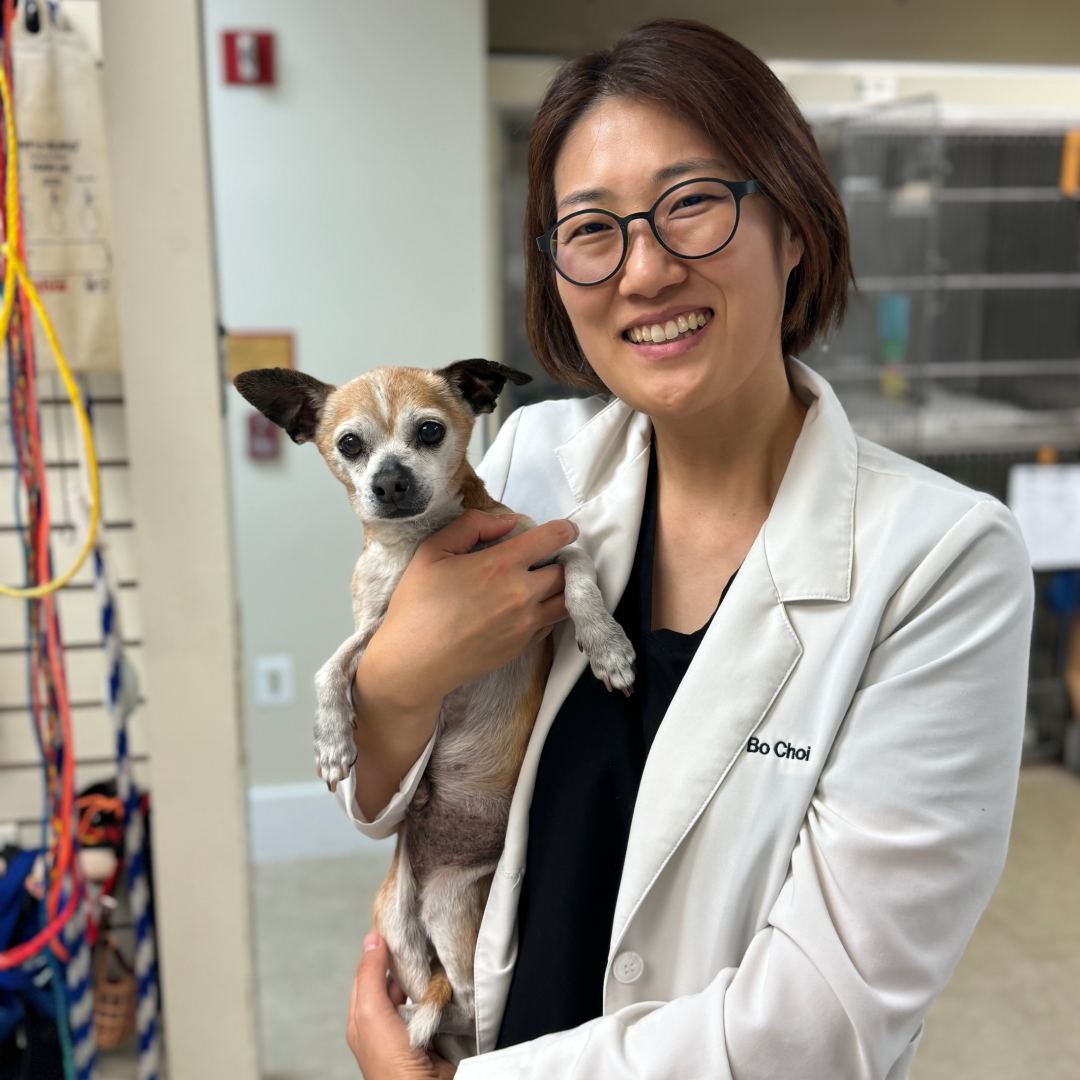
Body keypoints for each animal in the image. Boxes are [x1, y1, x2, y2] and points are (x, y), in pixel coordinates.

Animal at [234, 358, 630, 1058]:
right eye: (350, 445)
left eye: (428, 431)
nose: (389, 480)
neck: (421, 545)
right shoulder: (378, 630)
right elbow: (329, 667)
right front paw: (331, 738)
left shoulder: (550, 552)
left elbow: (580, 573)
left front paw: (606, 644)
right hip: (400, 923)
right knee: (444, 1002)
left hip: (452, 911)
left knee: (466, 1001)